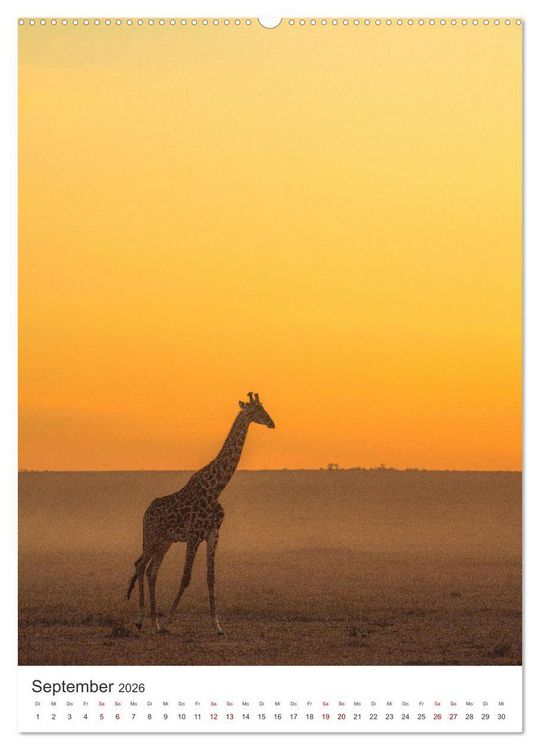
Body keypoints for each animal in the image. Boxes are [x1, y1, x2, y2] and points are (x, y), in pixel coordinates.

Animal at [127, 392, 275, 635]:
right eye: (255, 411)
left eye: (264, 408)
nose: (272, 423)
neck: (216, 488)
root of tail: (145, 513)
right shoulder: (194, 535)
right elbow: (186, 577)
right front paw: (168, 622)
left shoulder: (213, 534)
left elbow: (210, 578)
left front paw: (217, 625)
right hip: (151, 537)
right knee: (140, 566)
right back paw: (141, 621)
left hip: (165, 542)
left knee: (151, 572)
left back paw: (153, 623)